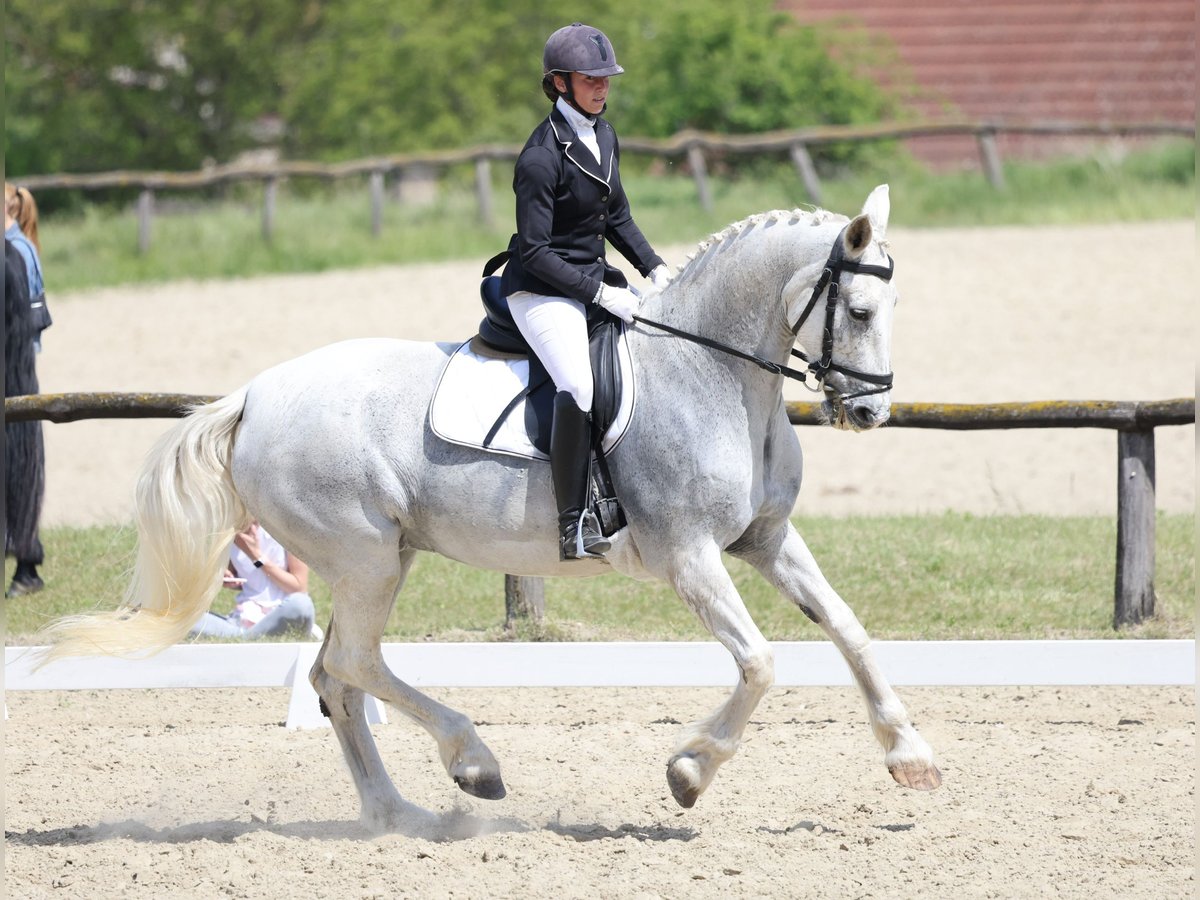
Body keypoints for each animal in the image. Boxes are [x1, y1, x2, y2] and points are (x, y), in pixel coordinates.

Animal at [42, 184, 940, 830]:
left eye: (896, 309)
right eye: (860, 311)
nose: (870, 412)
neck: (713, 374)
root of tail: (252, 397)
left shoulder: (765, 539)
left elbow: (849, 630)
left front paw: (911, 756)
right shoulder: (689, 556)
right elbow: (759, 662)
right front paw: (688, 772)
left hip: (376, 559)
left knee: (337, 678)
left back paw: (396, 814)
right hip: (366, 559)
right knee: (356, 664)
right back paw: (472, 764)